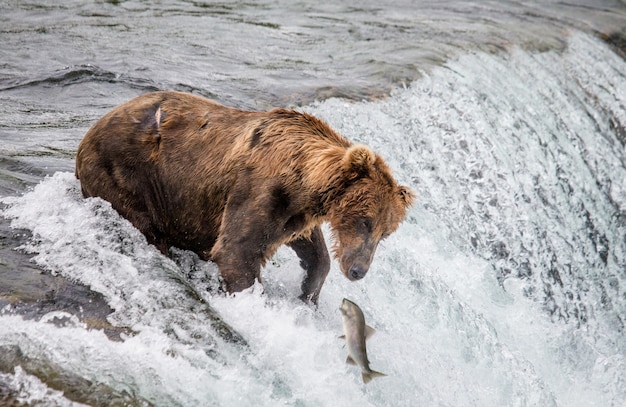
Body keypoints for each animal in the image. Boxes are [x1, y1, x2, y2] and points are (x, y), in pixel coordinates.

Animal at [75, 91, 412, 302]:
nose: (358, 271)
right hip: (127, 176)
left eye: (385, 233)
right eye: (365, 221)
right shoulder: (258, 190)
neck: (302, 177)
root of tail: (87, 135)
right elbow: (237, 253)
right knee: (147, 228)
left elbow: (312, 250)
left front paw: (308, 292)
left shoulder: (294, 211)